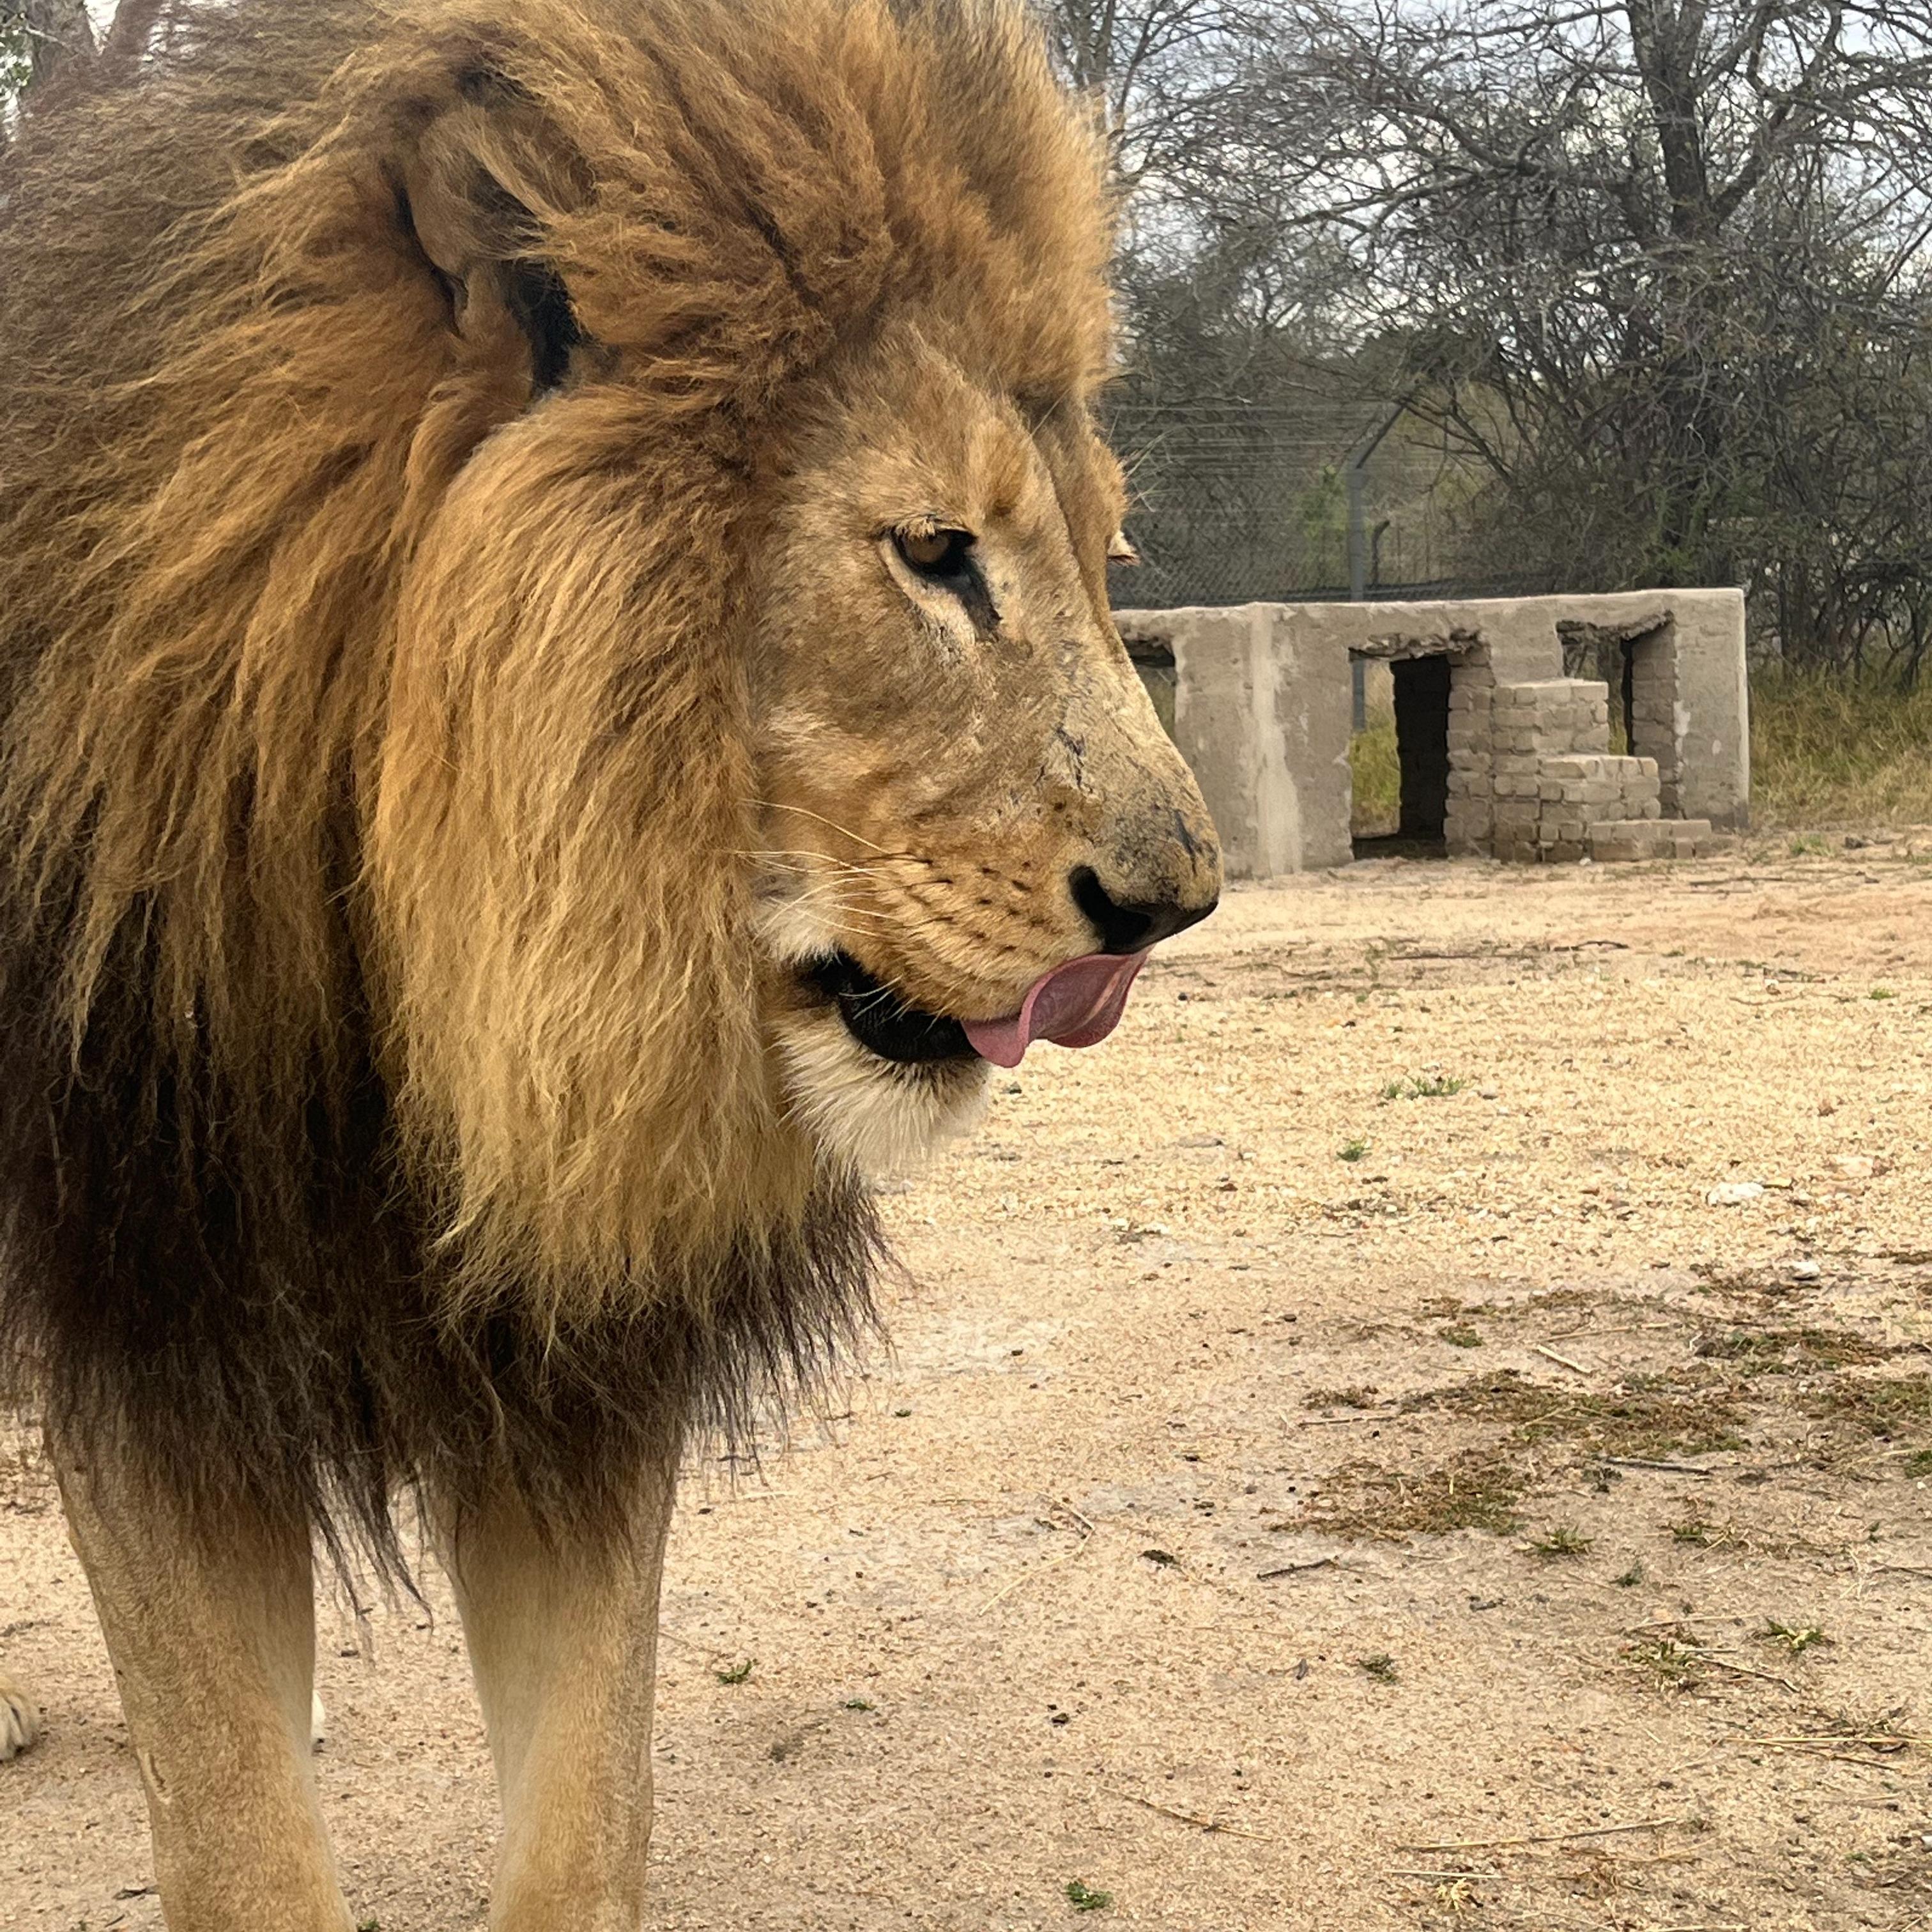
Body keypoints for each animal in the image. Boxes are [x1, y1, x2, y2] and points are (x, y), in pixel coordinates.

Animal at [0, 1, 1220, 1924]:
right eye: (934, 553)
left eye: (1102, 563)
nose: (1177, 906)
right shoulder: (147, 1318)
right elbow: (239, 1838)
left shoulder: (574, 1373)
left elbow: (588, 1825)